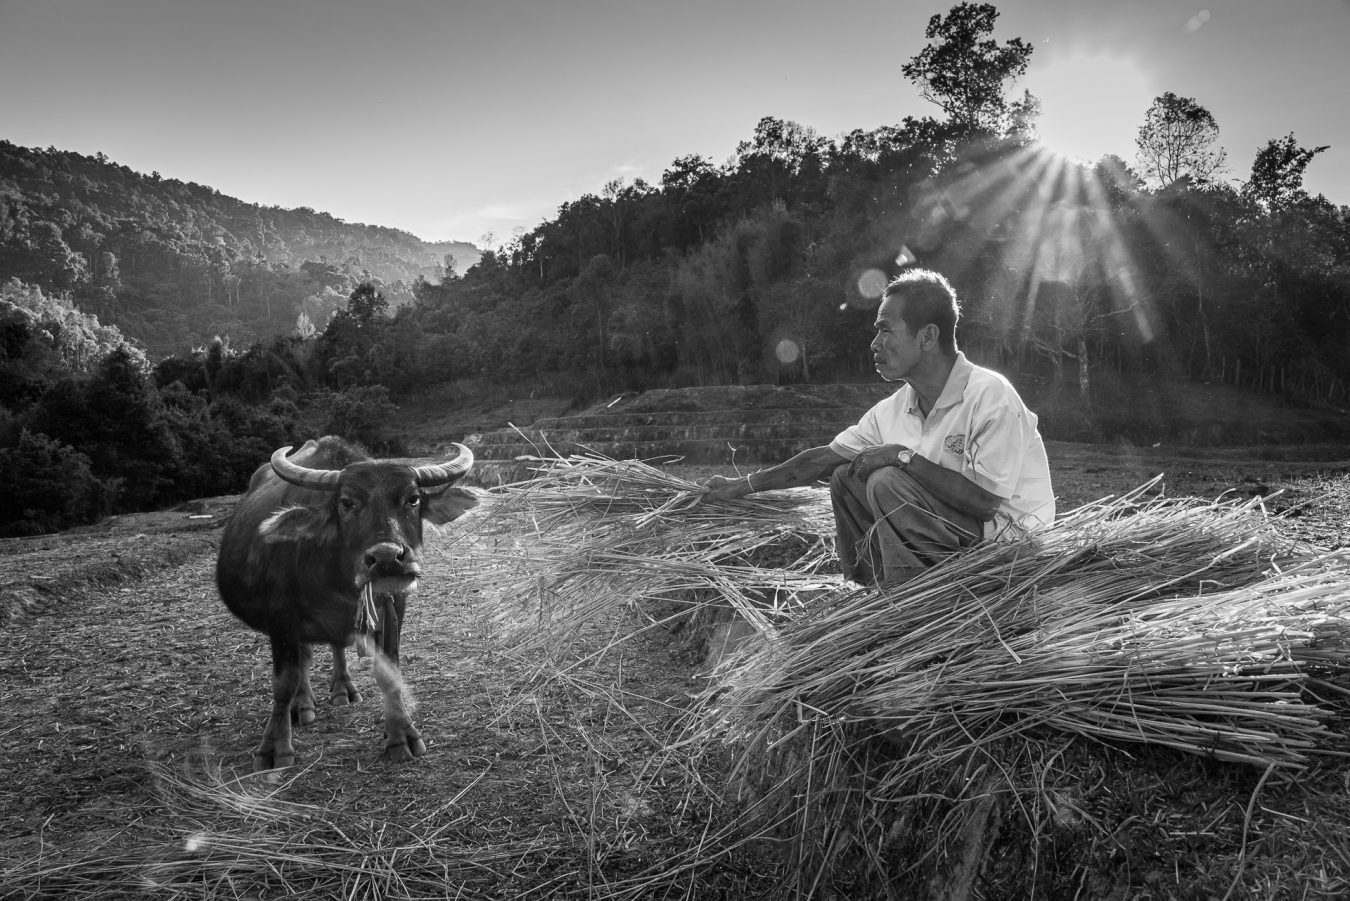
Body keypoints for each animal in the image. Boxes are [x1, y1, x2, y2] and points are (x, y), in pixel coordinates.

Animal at [217, 437, 480, 767]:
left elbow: (389, 673)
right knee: (303, 660)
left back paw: (343, 689)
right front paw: (275, 748)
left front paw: (401, 734)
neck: (339, 580)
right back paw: (302, 706)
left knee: (333, 646)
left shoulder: (393, 608)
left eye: (413, 499)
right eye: (346, 503)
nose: (386, 558)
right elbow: (284, 682)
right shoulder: (281, 621)